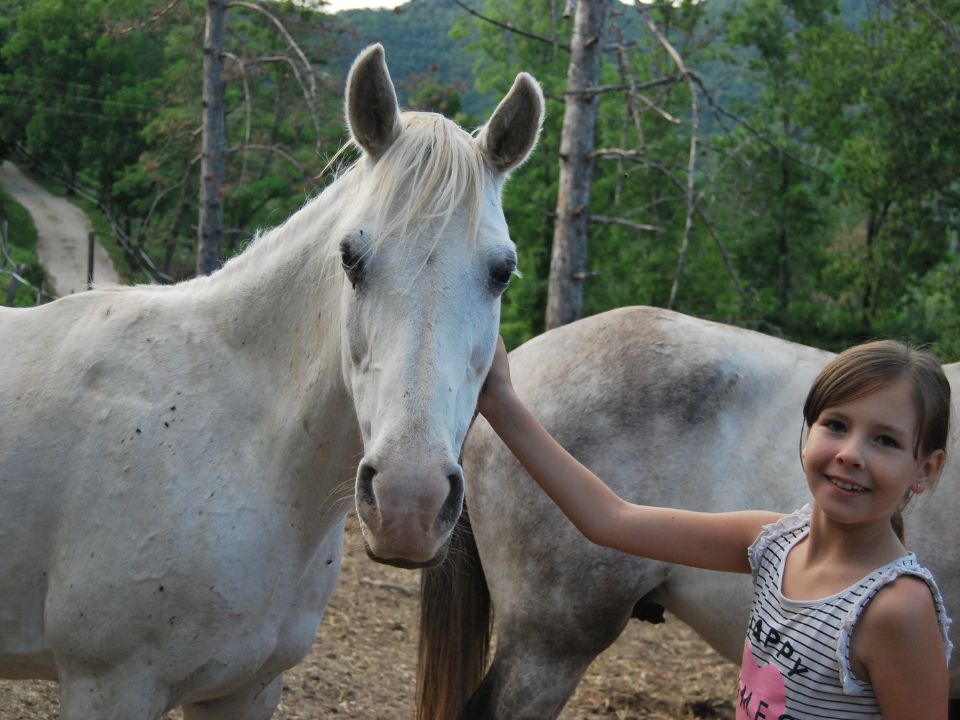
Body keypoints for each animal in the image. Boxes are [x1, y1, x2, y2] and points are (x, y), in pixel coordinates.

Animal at [0, 44, 543, 720]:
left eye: (502, 272)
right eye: (350, 258)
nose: (408, 503)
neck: (237, 446)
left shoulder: (245, 687)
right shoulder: (108, 685)